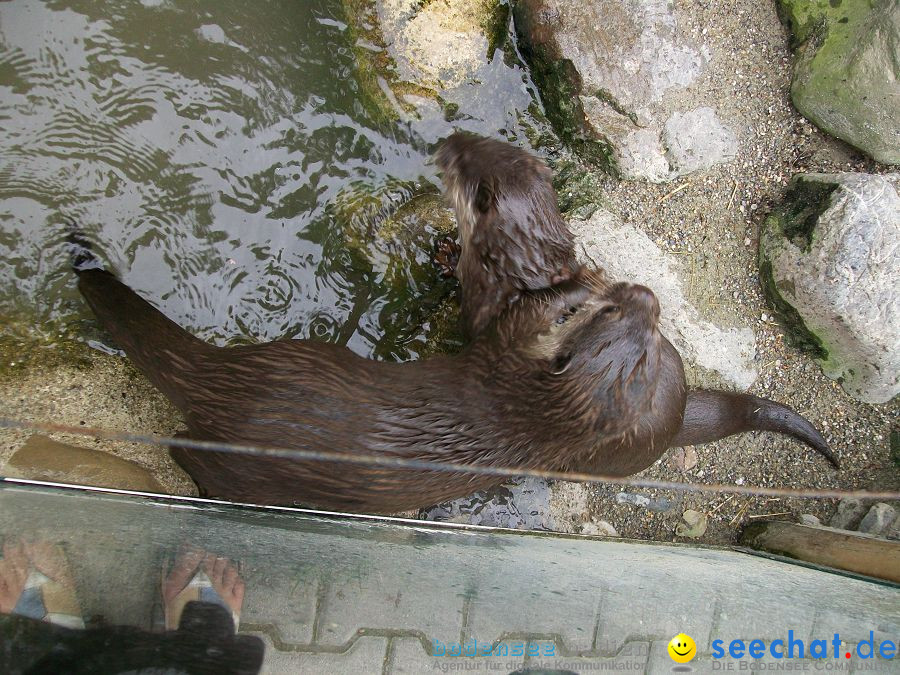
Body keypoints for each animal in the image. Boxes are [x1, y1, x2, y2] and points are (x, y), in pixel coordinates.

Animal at [70, 133, 836, 512]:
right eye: (635, 328)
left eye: (469, 177)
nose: (643, 292)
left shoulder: (492, 343)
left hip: (250, 445)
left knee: (189, 452)